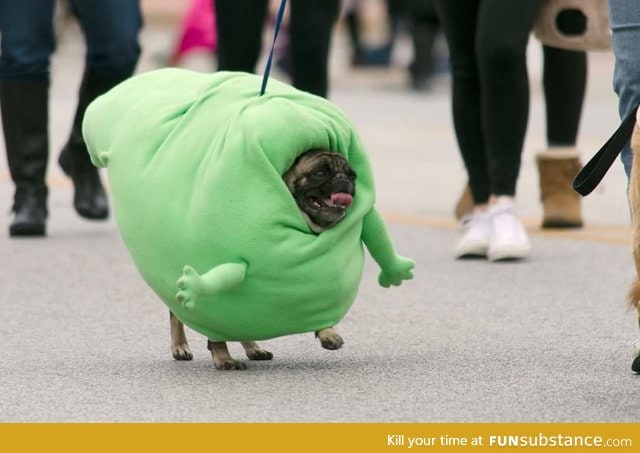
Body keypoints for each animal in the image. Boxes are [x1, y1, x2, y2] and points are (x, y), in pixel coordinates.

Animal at [170, 148, 358, 368]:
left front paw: (328, 333)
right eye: (320, 172)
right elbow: (215, 332)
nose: (344, 178)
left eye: (353, 175)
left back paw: (254, 349)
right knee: (176, 315)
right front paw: (223, 358)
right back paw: (180, 347)